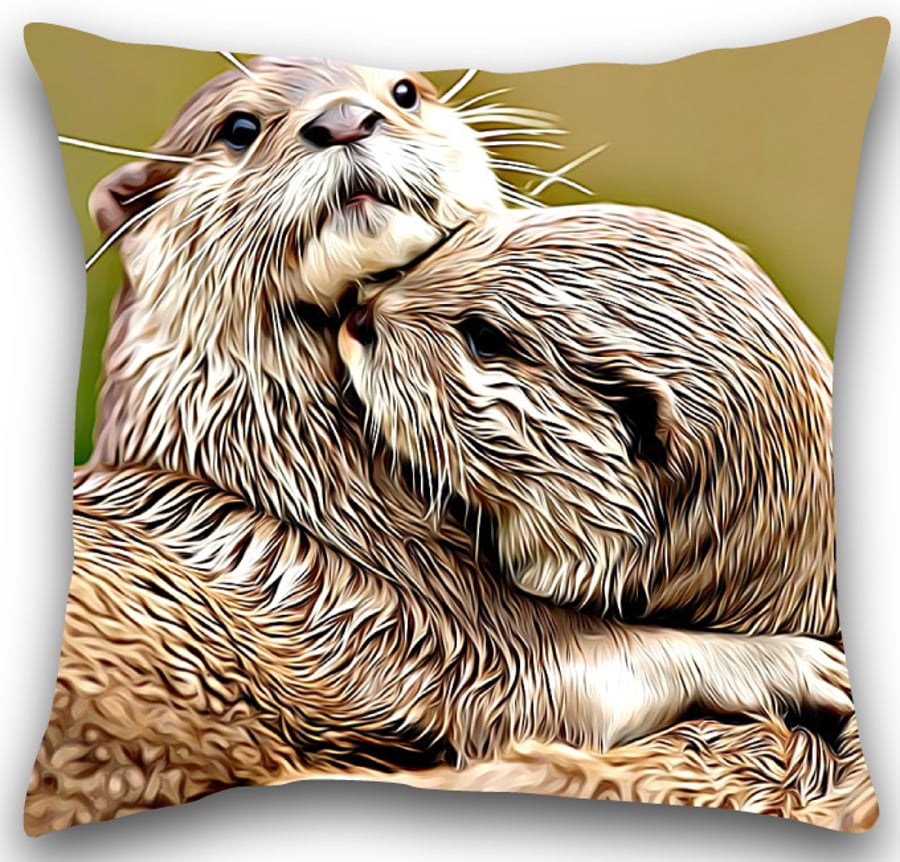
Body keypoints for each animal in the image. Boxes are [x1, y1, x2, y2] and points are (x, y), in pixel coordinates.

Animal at [29, 60, 853, 833]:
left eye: (402, 91)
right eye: (238, 128)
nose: (343, 118)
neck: (294, 474)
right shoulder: (412, 622)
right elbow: (585, 672)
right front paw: (787, 663)